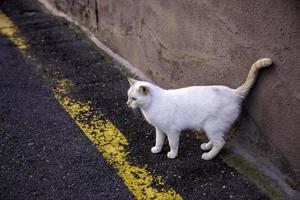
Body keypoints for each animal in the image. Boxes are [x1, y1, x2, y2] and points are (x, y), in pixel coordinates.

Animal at [126, 57, 272, 159]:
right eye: (128, 97)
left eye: (134, 99)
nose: (127, 103)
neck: (151, 106)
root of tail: (233, 92)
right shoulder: (160, 129)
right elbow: (159, 141)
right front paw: (157, 149)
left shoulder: (172, 131)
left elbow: (173, 144)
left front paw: (172, 155)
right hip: (213, 129)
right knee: (217, 141)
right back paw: (206, 147)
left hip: (211, 127)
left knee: (221, 143)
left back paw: (208, 156)